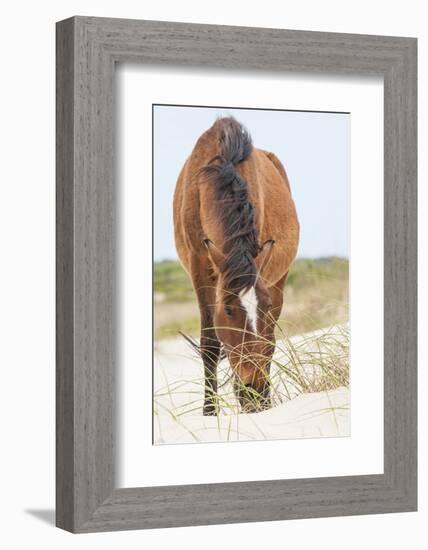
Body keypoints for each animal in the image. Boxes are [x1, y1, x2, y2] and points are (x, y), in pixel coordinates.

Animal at [172, 118, 300, 416]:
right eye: (228, 310)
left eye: (263, 306)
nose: (253, 387)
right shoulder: (199, 266)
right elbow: (210, 343)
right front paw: (209, 412)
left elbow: (265, 342)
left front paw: (260, 401)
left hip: (279, 280)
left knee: (271, 341)